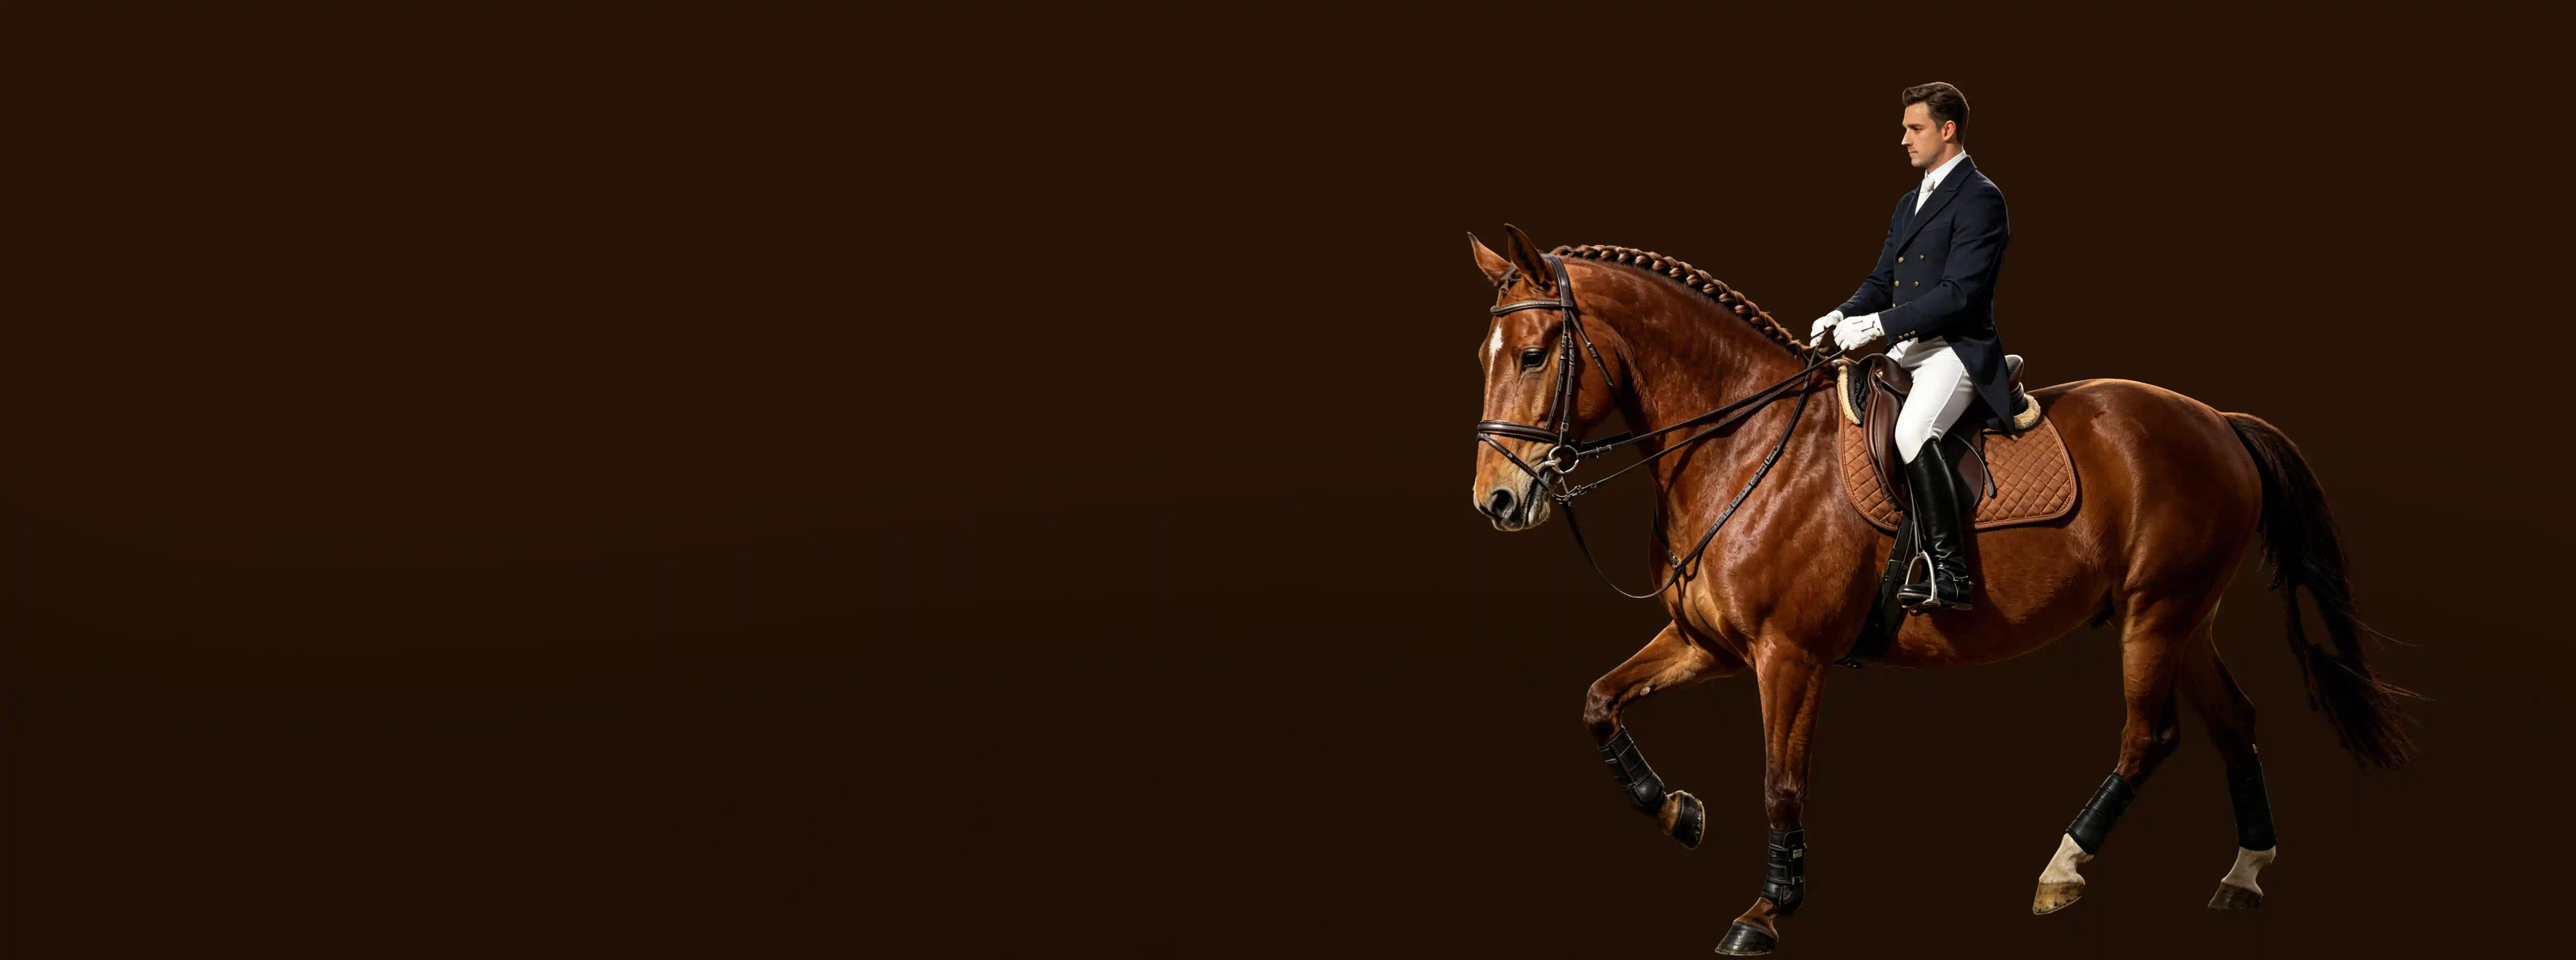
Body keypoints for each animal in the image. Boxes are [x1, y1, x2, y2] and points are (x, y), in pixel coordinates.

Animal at [1463, 226, 2414, 955]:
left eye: (1535, 355)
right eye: (1485, 356)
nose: (1496, 503)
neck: (1741, 442)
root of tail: (2217, 420)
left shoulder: (1789, 657)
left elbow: (1780, 781)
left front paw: (1765, 913)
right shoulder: (1707, 644)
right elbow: (1598, 702)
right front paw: (1676, 814)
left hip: (2155, 615)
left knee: (2151, 738)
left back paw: (2062, 870)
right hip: (2186, 620)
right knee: (2234, 722)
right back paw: (2245, 872)